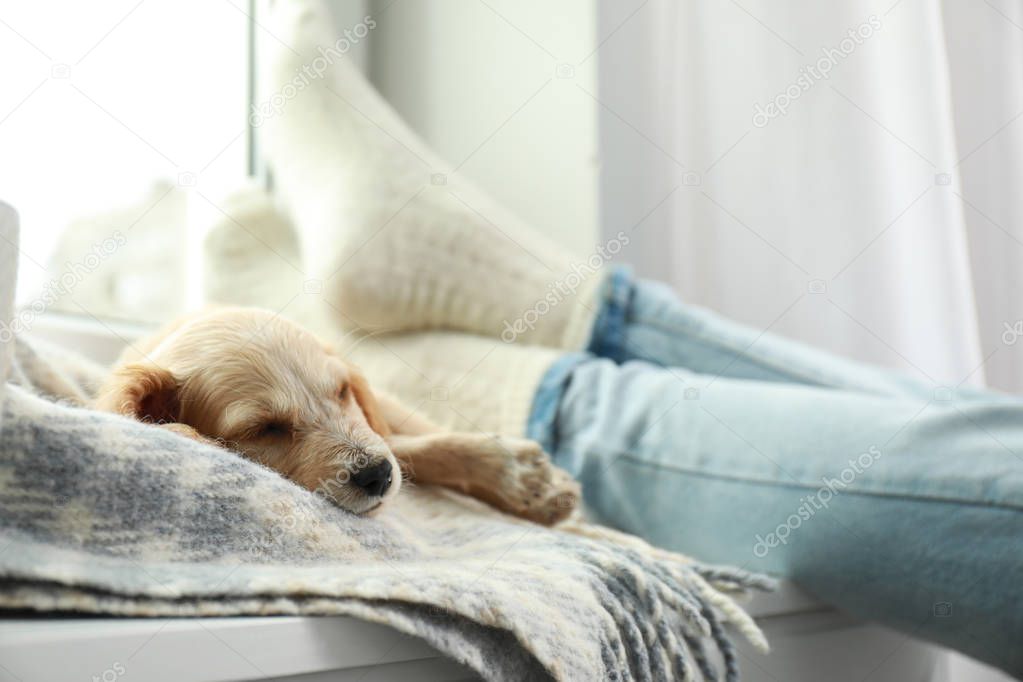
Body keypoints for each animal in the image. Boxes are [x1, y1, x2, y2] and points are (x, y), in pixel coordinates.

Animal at [95, 306, 581, 527]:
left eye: (342, 391)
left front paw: (521, 480)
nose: (377, 476)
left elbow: (416, 444)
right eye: (264, 429)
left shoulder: (375, 419)